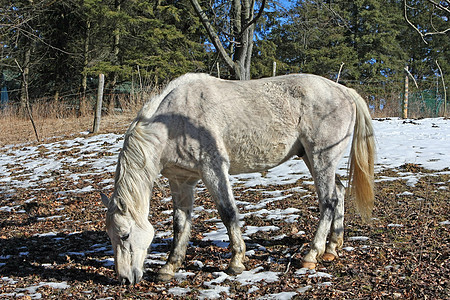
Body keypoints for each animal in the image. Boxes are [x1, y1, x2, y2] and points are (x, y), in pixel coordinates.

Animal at [100, 72, 374, 284]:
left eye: (125, 235)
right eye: (110, 236)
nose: (125, 279)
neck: (173, 121)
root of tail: (344, 90)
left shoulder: (214, 169)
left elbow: (228, 213)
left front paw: (236, 262)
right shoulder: (181, 181)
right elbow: (180, 223)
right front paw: (170, 266)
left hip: (320, 159)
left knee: (328, 201)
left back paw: (311, 256)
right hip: (313, 159)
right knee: (339, 192)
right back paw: (332, 248)